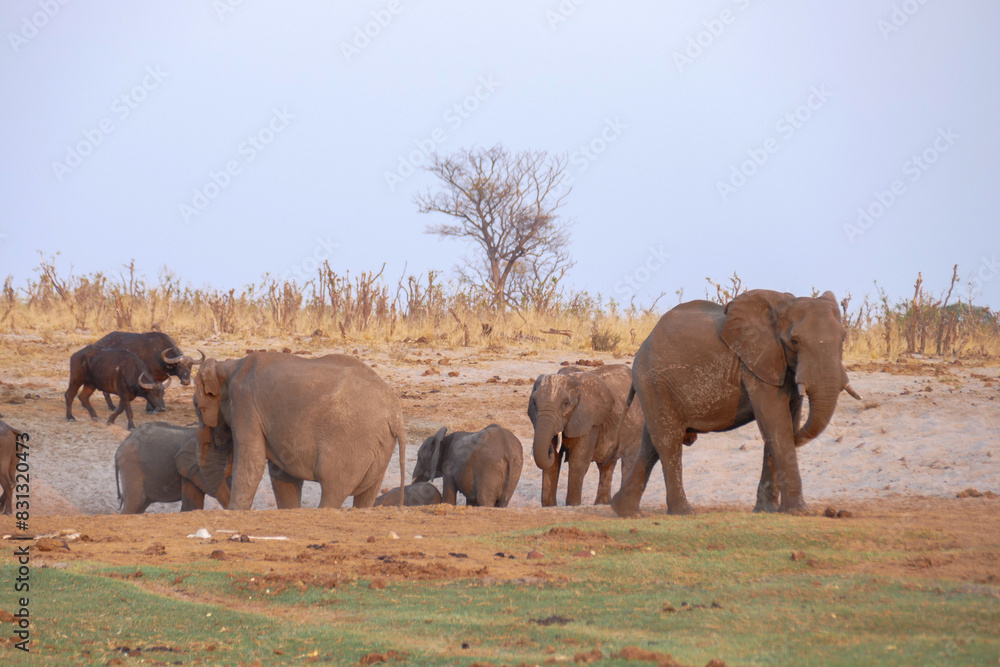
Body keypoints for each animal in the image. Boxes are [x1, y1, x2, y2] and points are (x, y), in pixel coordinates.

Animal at [194, 351, 407, 510]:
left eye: (199, 407)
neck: (227, 366)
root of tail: (396, 414)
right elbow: (282, 473)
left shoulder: (245, 405)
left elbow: (252, 463)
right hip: (381, 446)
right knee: (366, 494)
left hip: (351, 445)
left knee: (332, 489)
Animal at [528, 364, 644, 506]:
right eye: (534, 402)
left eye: (566, 404)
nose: (549, 449)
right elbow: (553, 464)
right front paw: (550, 507)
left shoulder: (589, 420)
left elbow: (578, 460)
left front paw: (572, 506)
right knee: (606, 466)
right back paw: (601, 504)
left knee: (629, 462)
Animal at [611, 289, 861, 517]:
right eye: (795, 341)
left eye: (843, 339)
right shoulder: (756, 363)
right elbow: (775, 424)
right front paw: (798, 511)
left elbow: (786, 422)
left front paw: (766, 511)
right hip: (654, 381)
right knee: (668, 440)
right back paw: (684, 512)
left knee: (651, 442)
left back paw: (624, 511)